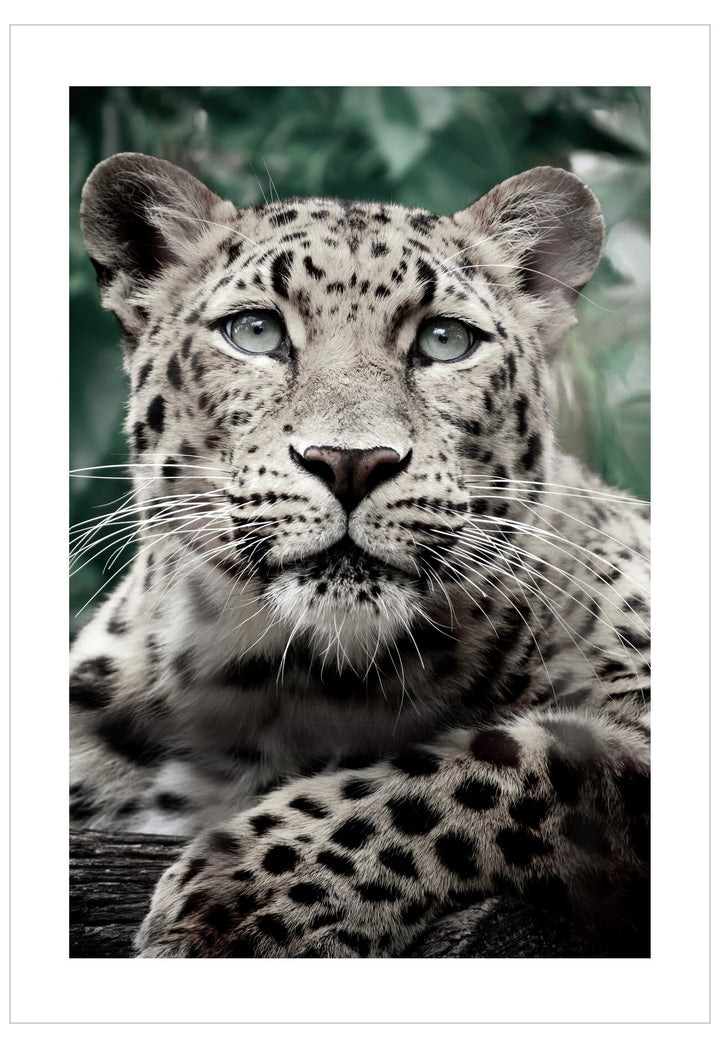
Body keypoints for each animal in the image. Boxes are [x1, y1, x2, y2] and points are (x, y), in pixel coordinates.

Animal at [70, 152, 650, 958]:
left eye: (444, 341)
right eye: (255, 332)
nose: (350, 462)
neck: (284, 685)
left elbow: (488, 768)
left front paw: (243, 901)